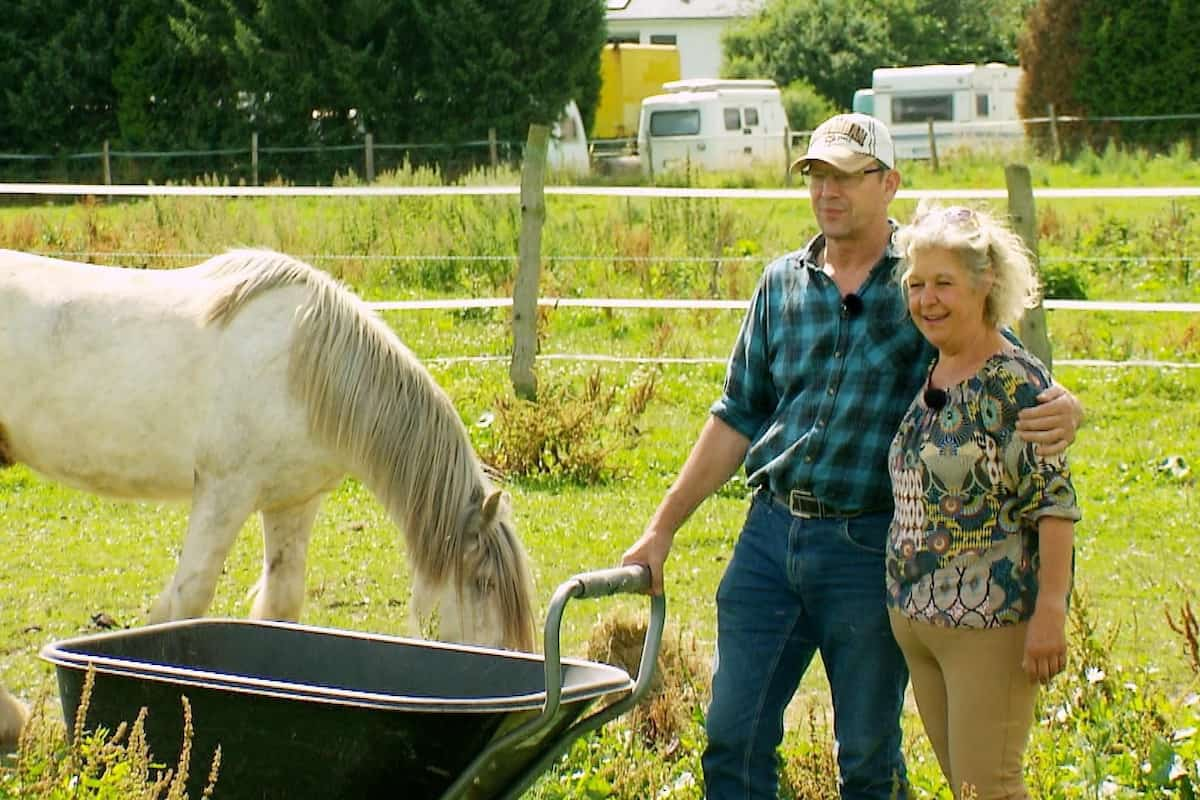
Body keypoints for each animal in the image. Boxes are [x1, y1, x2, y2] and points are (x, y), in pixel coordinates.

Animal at [0, 248, 535, 743]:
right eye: (484, 583)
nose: (507, 665)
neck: (302, 364)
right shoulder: (224, 491)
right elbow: (186, 601)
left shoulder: (292, 502)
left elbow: (282, 601)